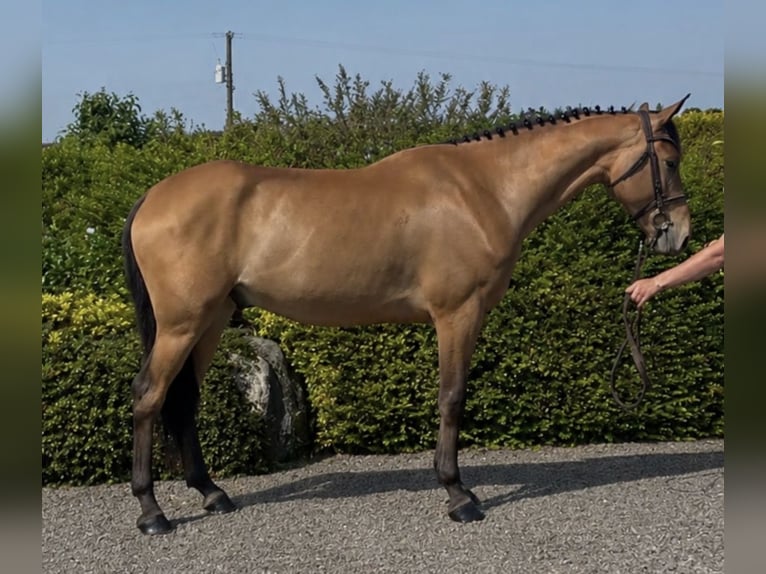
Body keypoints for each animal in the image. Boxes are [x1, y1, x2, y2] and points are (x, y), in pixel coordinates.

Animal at [122, 96, 692, 535]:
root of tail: (152, 196)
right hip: (181, 325)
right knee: (149, 395)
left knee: (184, 401)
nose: (679, 234)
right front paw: (459, 495)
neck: (485, 188)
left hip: (212, 320)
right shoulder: (457, 314)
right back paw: (152, 512)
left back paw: (211, 493)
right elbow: (452, 398)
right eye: (668, 160)